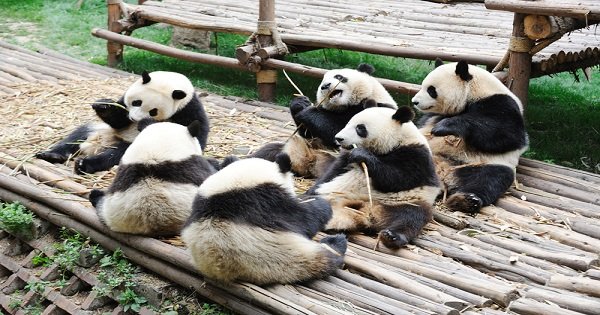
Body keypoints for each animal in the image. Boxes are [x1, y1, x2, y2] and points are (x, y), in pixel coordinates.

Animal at [37, 71, 211, 174]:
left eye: (153, 111)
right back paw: (52, 154)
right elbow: (118, 120)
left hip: (133, 145)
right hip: (98, 130)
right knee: (78, 135)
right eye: (136, 102)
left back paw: (84, 164)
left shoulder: (188, 109)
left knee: (115, 155)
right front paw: (104, 105)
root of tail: (99, 145)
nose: (133, 119)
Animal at [180, 154, 346, 286]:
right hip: (289, 259)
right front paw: (322, 205)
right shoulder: (267, 201)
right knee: (328, 256)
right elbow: (304, 219)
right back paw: (337, 242)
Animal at [254, 64, 398, 178]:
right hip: (295, 148)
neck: (345, 105)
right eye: (322, 81)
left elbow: (338, 132)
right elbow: (309, 134)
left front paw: (308, 112)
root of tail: (307, 164)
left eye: (339, 77)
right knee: (268, 152)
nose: (325, 86)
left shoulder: (375, 108)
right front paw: (300, 104)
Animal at [308, 106, 438, 249]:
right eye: (348, 122)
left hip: (406, 202)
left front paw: (362, 155)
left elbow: (397, 179)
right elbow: (332, 173)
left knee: (412, 216)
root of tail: (368, 211)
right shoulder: (345, 158)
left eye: (360, 128)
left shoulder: (417, 156)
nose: (339, 138)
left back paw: (392, 236)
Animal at [410, 61, 528, 215]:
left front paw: (443, 127)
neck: (474, 91)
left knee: (489, 179)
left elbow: (508, 134)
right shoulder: (430, 117)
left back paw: (465, 200)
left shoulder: (502, 103)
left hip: (478, 164)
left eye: (431, 90)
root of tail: (443, 173)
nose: (414, 102)